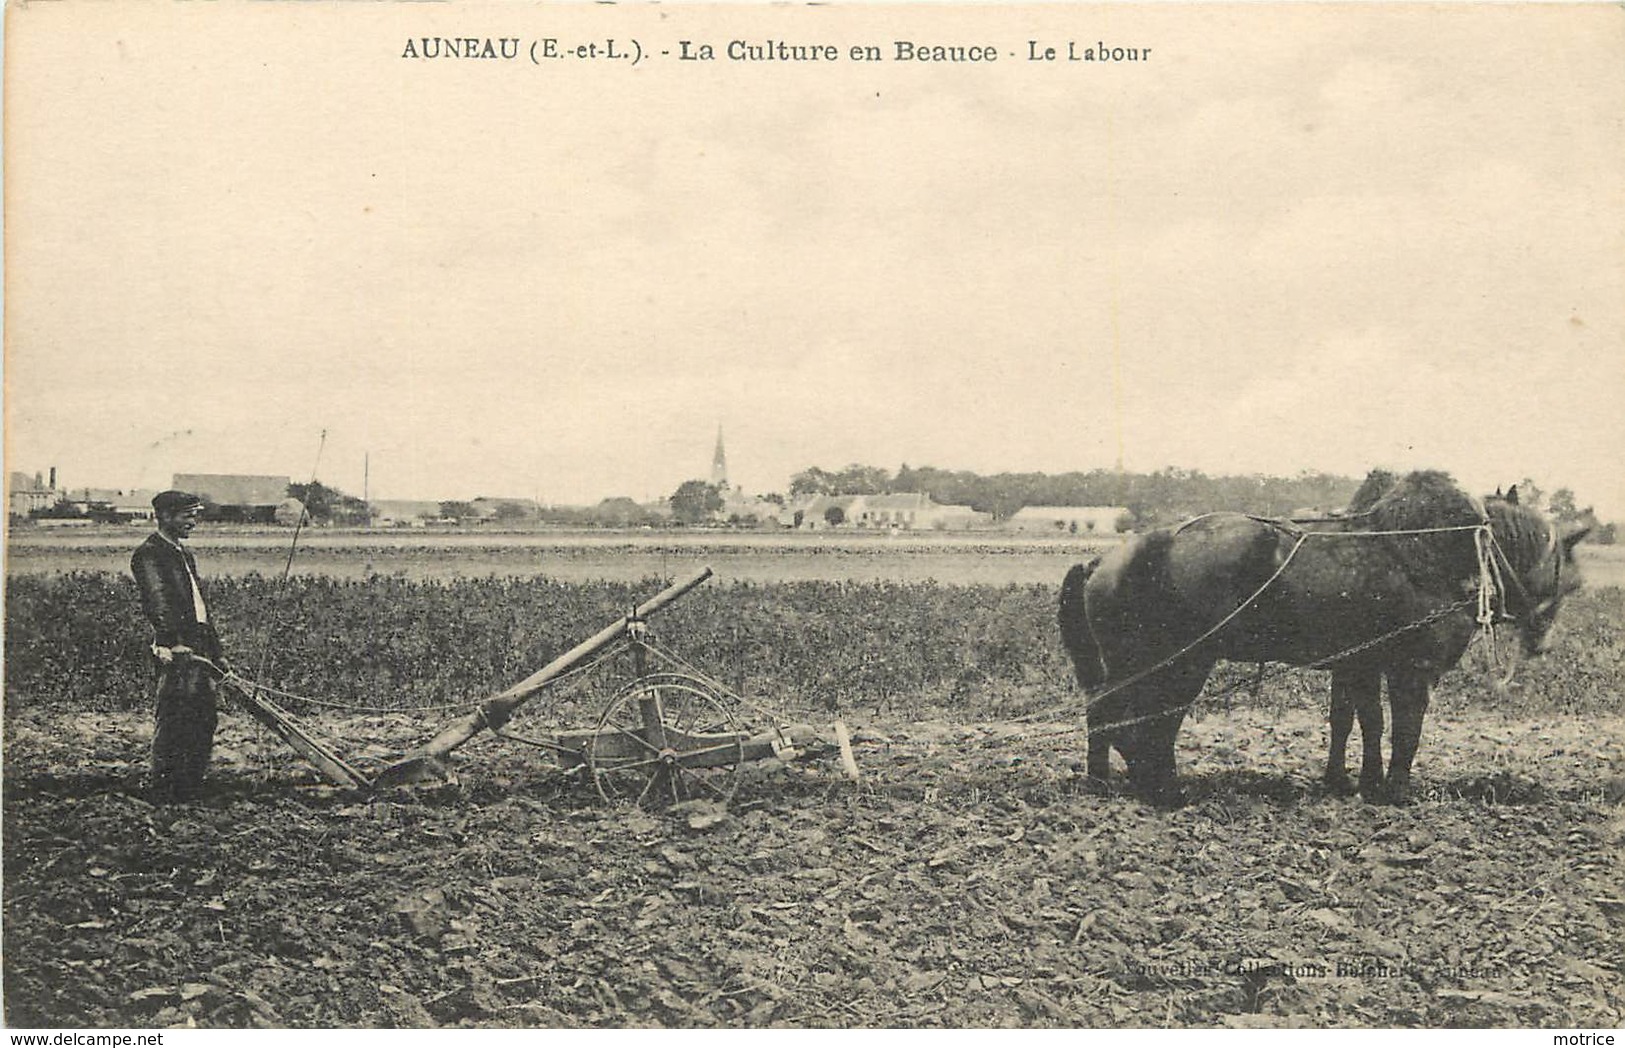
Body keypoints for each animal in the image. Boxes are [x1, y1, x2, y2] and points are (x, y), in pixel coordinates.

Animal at [1059, 471, 1579, 805]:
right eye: (1563, 568)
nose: (1544, 641)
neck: (1445, 552)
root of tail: (1104, 560)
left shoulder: (1359, 664)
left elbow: (1357, 722)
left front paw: (1352, 782)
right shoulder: (1413, 669)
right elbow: (1404, 729)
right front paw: (1395, 790)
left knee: (1113, 717)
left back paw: (1109, 781)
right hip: (1175, 665)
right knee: (1135, 722)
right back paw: (1162, 789)